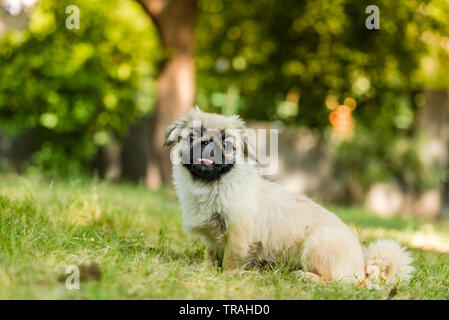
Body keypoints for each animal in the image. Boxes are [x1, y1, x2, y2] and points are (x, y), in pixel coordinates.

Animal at [164, 108, 412, 284]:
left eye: (226, 143)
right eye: (192, 136)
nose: (207, 142)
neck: (211, 185)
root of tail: (364, 266)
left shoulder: (239, 235)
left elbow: (231, 261)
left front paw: (226, 278)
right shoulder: (213, 239)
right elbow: (211, 256)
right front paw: (205, 272)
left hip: (317, 244)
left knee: (342, 282)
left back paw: (307, 278)